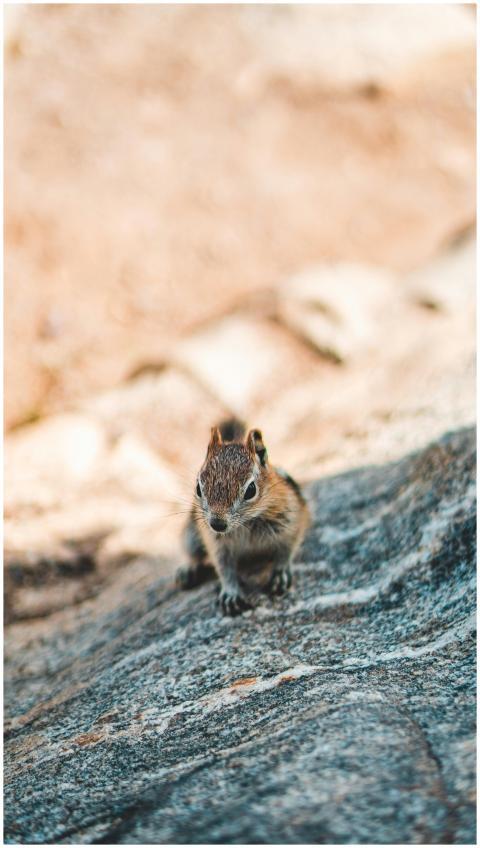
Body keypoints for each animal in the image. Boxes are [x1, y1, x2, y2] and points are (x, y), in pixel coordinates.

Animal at [176, 418, 310, 616]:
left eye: (251, 490)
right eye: (198, 488)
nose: (217, 523)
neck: (245, 523)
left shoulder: (291, 521)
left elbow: (287, 549)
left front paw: (281, 572)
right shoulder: (217, 544)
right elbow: (224, 568)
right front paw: (230, 593)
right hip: (191, 533)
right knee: (193, 552)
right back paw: (188, 569)